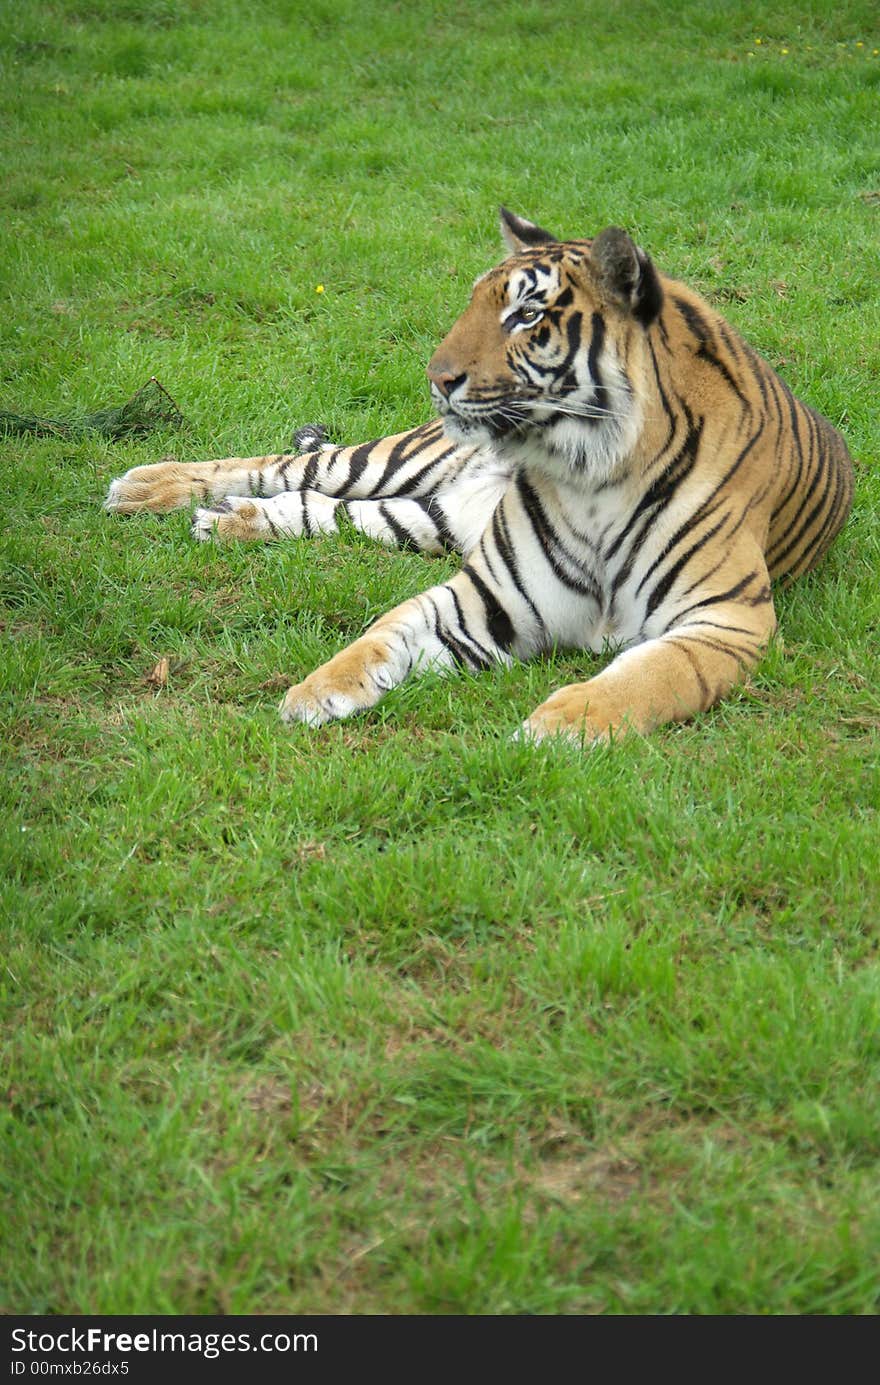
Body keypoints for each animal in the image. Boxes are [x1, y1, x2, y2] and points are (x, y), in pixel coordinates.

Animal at [103, 203, 853, 742]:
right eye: (475, 303)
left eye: (526, 315)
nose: (437, 378)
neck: (588, 472)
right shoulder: (487, 596)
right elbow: (384, 630)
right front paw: (314, 690)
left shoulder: (726, 620)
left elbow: (650, 674)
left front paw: (561, 723)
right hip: (400, 460)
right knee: (286, 465)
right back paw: (148, 487)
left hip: (424, 516)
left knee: (320, 504)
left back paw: (230, 522)